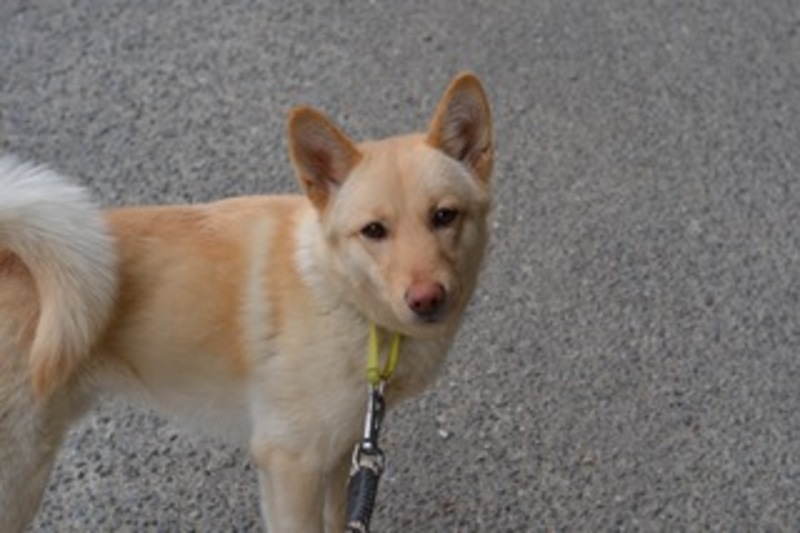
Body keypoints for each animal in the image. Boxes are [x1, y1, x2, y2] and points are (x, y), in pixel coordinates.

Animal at [0, 72, 493, 532]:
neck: (336, 295)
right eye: (374, 230)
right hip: (20, 475)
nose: (427, 298)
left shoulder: (339, 455)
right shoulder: (291, 462)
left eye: (444, 216)